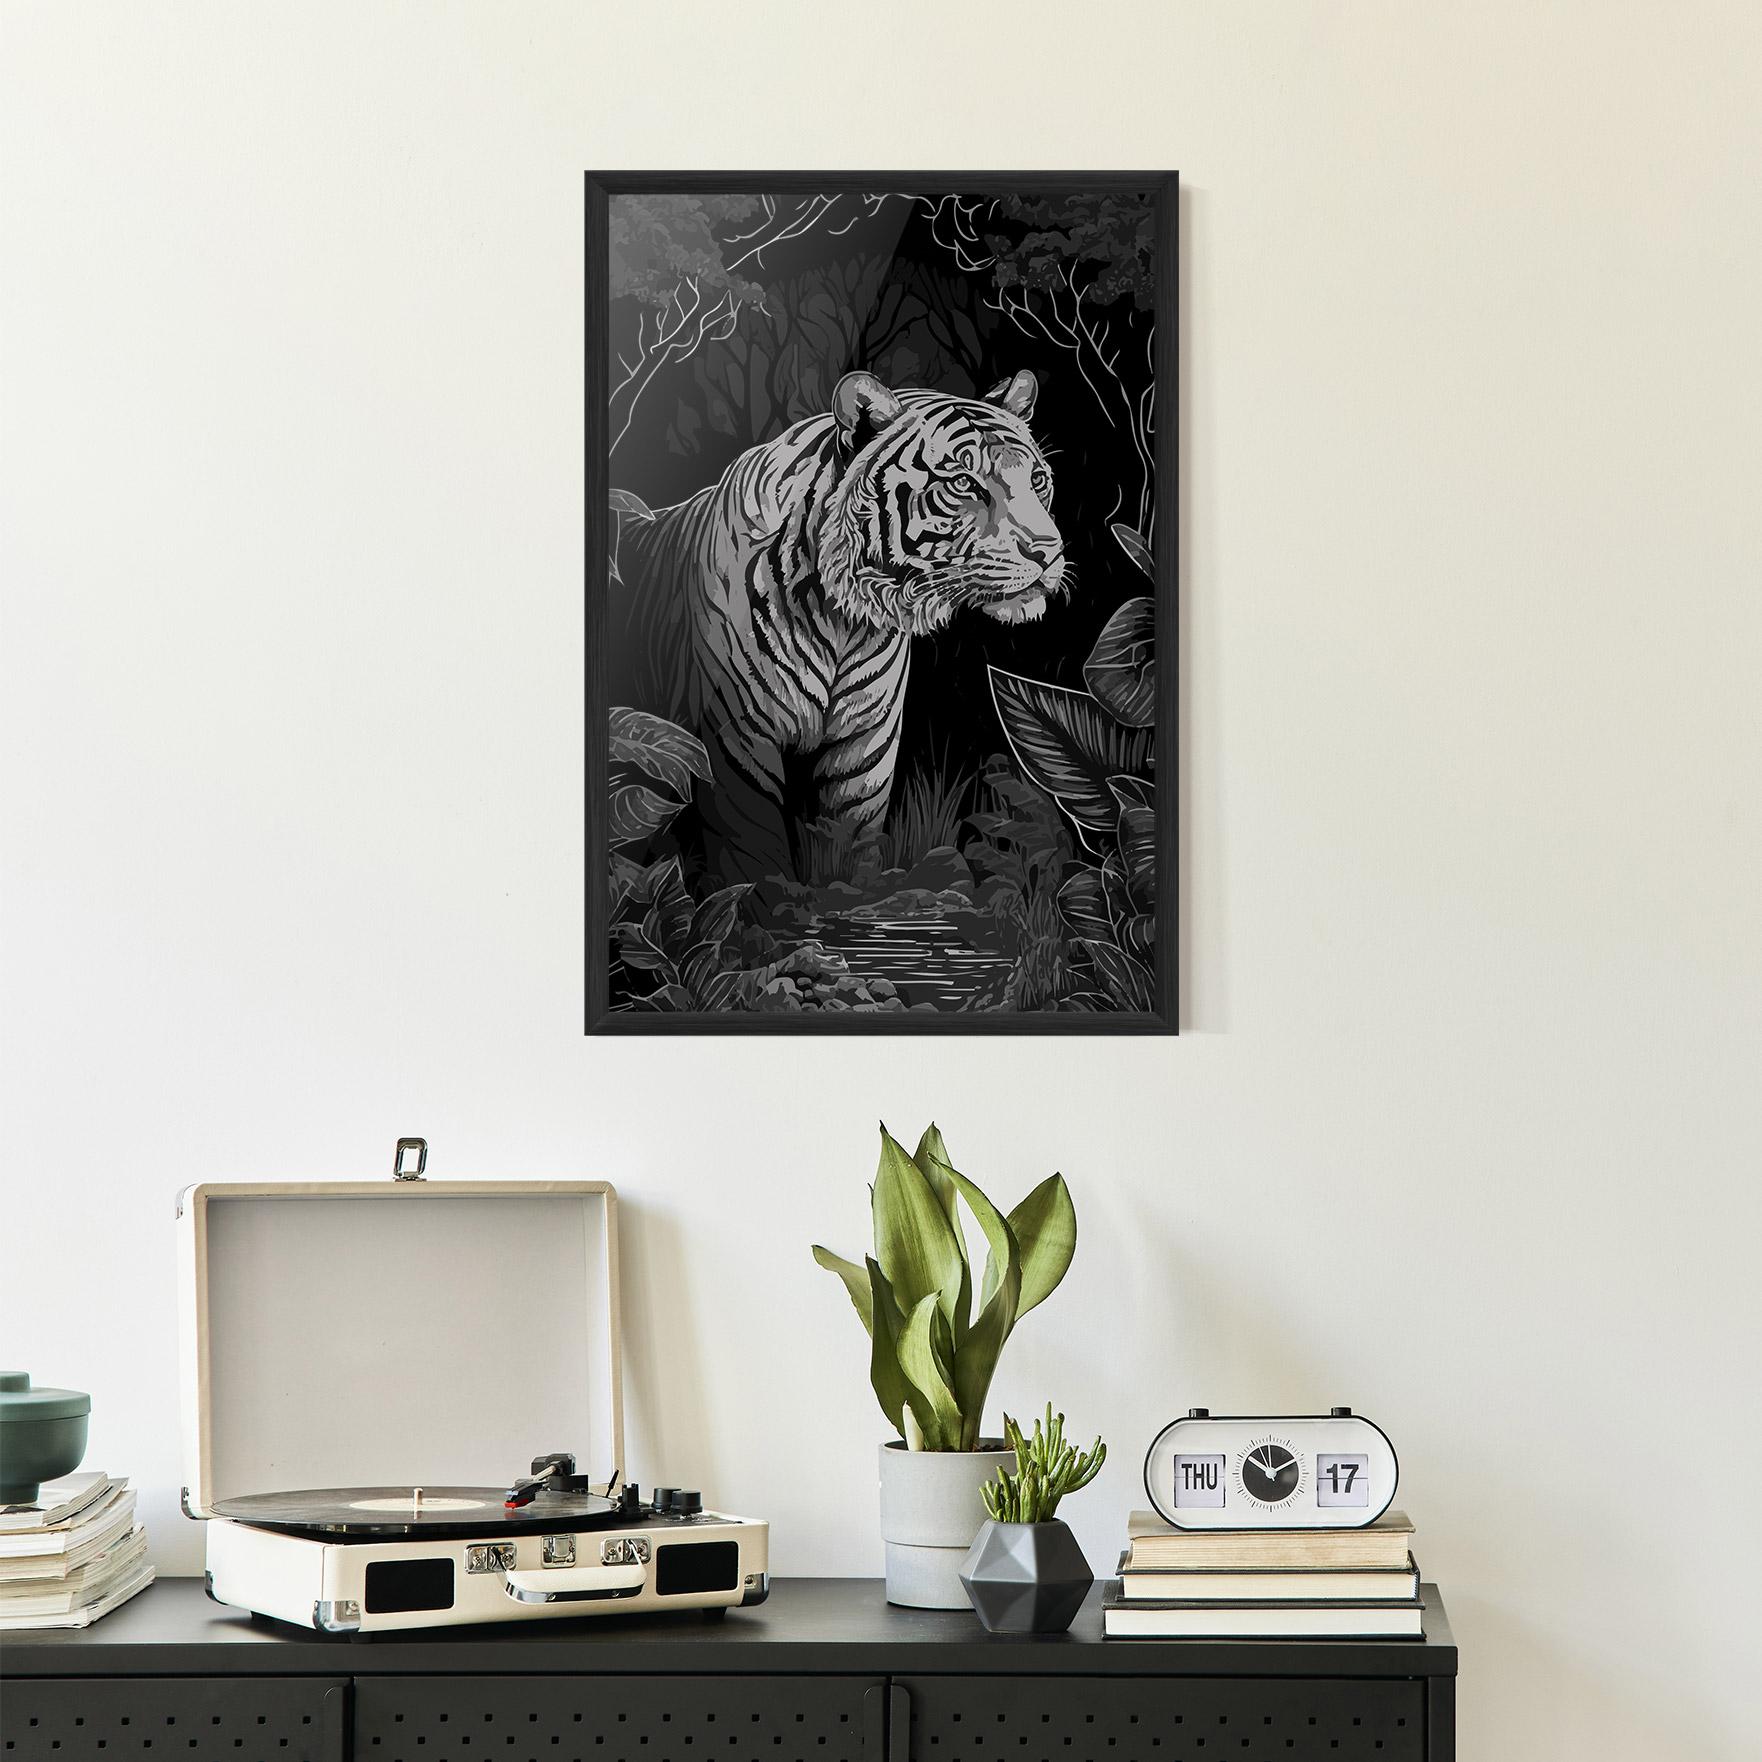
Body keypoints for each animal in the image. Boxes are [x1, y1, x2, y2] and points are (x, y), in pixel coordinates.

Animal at [610, 369, 1066, 885]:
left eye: (1037, 480)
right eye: (965, 483)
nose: (1048, 550)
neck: (843, 622)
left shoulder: (865, 746)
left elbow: (851, 849)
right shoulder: (736, 742)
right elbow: (754, 859)